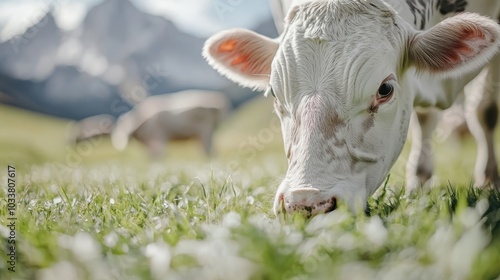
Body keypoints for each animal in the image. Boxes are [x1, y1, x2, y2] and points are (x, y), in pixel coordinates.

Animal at [203, 0, 500, 217]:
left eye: (385, 89)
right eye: (275, 93)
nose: (306, 203)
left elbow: (484, 111)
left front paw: (488, 181)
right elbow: (424, 118)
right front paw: (419, 181)